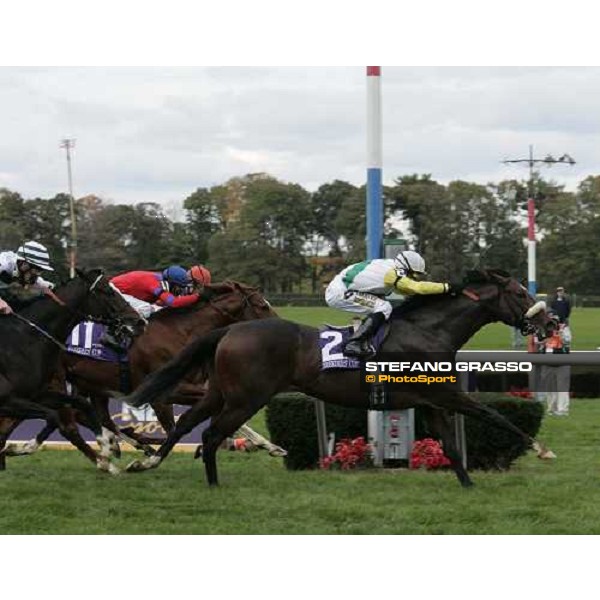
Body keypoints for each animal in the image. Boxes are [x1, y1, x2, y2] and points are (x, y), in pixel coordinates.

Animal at [0, 268, 145, 474]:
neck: (25, 340)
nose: (138, 321)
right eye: (107, 291)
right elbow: (54, 418)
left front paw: (107, 447)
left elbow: (81, 405)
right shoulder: (8, 400)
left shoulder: (36, 395)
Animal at [4, 282, 286, 460]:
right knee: (65, 417)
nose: (283, 327)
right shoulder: (164, 394)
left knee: (89, 417)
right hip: (56, 381)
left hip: (90, 385)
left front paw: (271, 446)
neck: (181, 332)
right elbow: (174, 428)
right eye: (262, 305)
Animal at [123, 268, 556, 488]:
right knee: (211, 435)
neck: (429, 331)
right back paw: (212, 483)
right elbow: (495, 416)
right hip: (246, 398)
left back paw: (145, 463)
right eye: (520, 293)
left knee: (185, 424)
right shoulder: (447, 397)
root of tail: (228, 330)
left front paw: (467, 485)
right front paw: (543, 450)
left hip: (219, 392)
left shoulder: (431, 401)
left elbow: (450, 445)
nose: (550, 323)